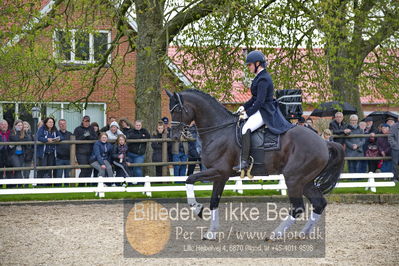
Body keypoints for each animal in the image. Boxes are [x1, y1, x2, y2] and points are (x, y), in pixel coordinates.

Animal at [166, 89, 346, 241]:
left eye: (177, 110)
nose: (174, 136)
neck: (218, 131)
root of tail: (324, 142)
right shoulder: (220, 177)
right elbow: (213, 202)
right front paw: (211, 233)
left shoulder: (218, 171)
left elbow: (189, 179)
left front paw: (196, 208)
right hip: (305, 181)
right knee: (319, 203)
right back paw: (303, 233)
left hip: (294, 179)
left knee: (298, 207)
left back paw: (275, 234)